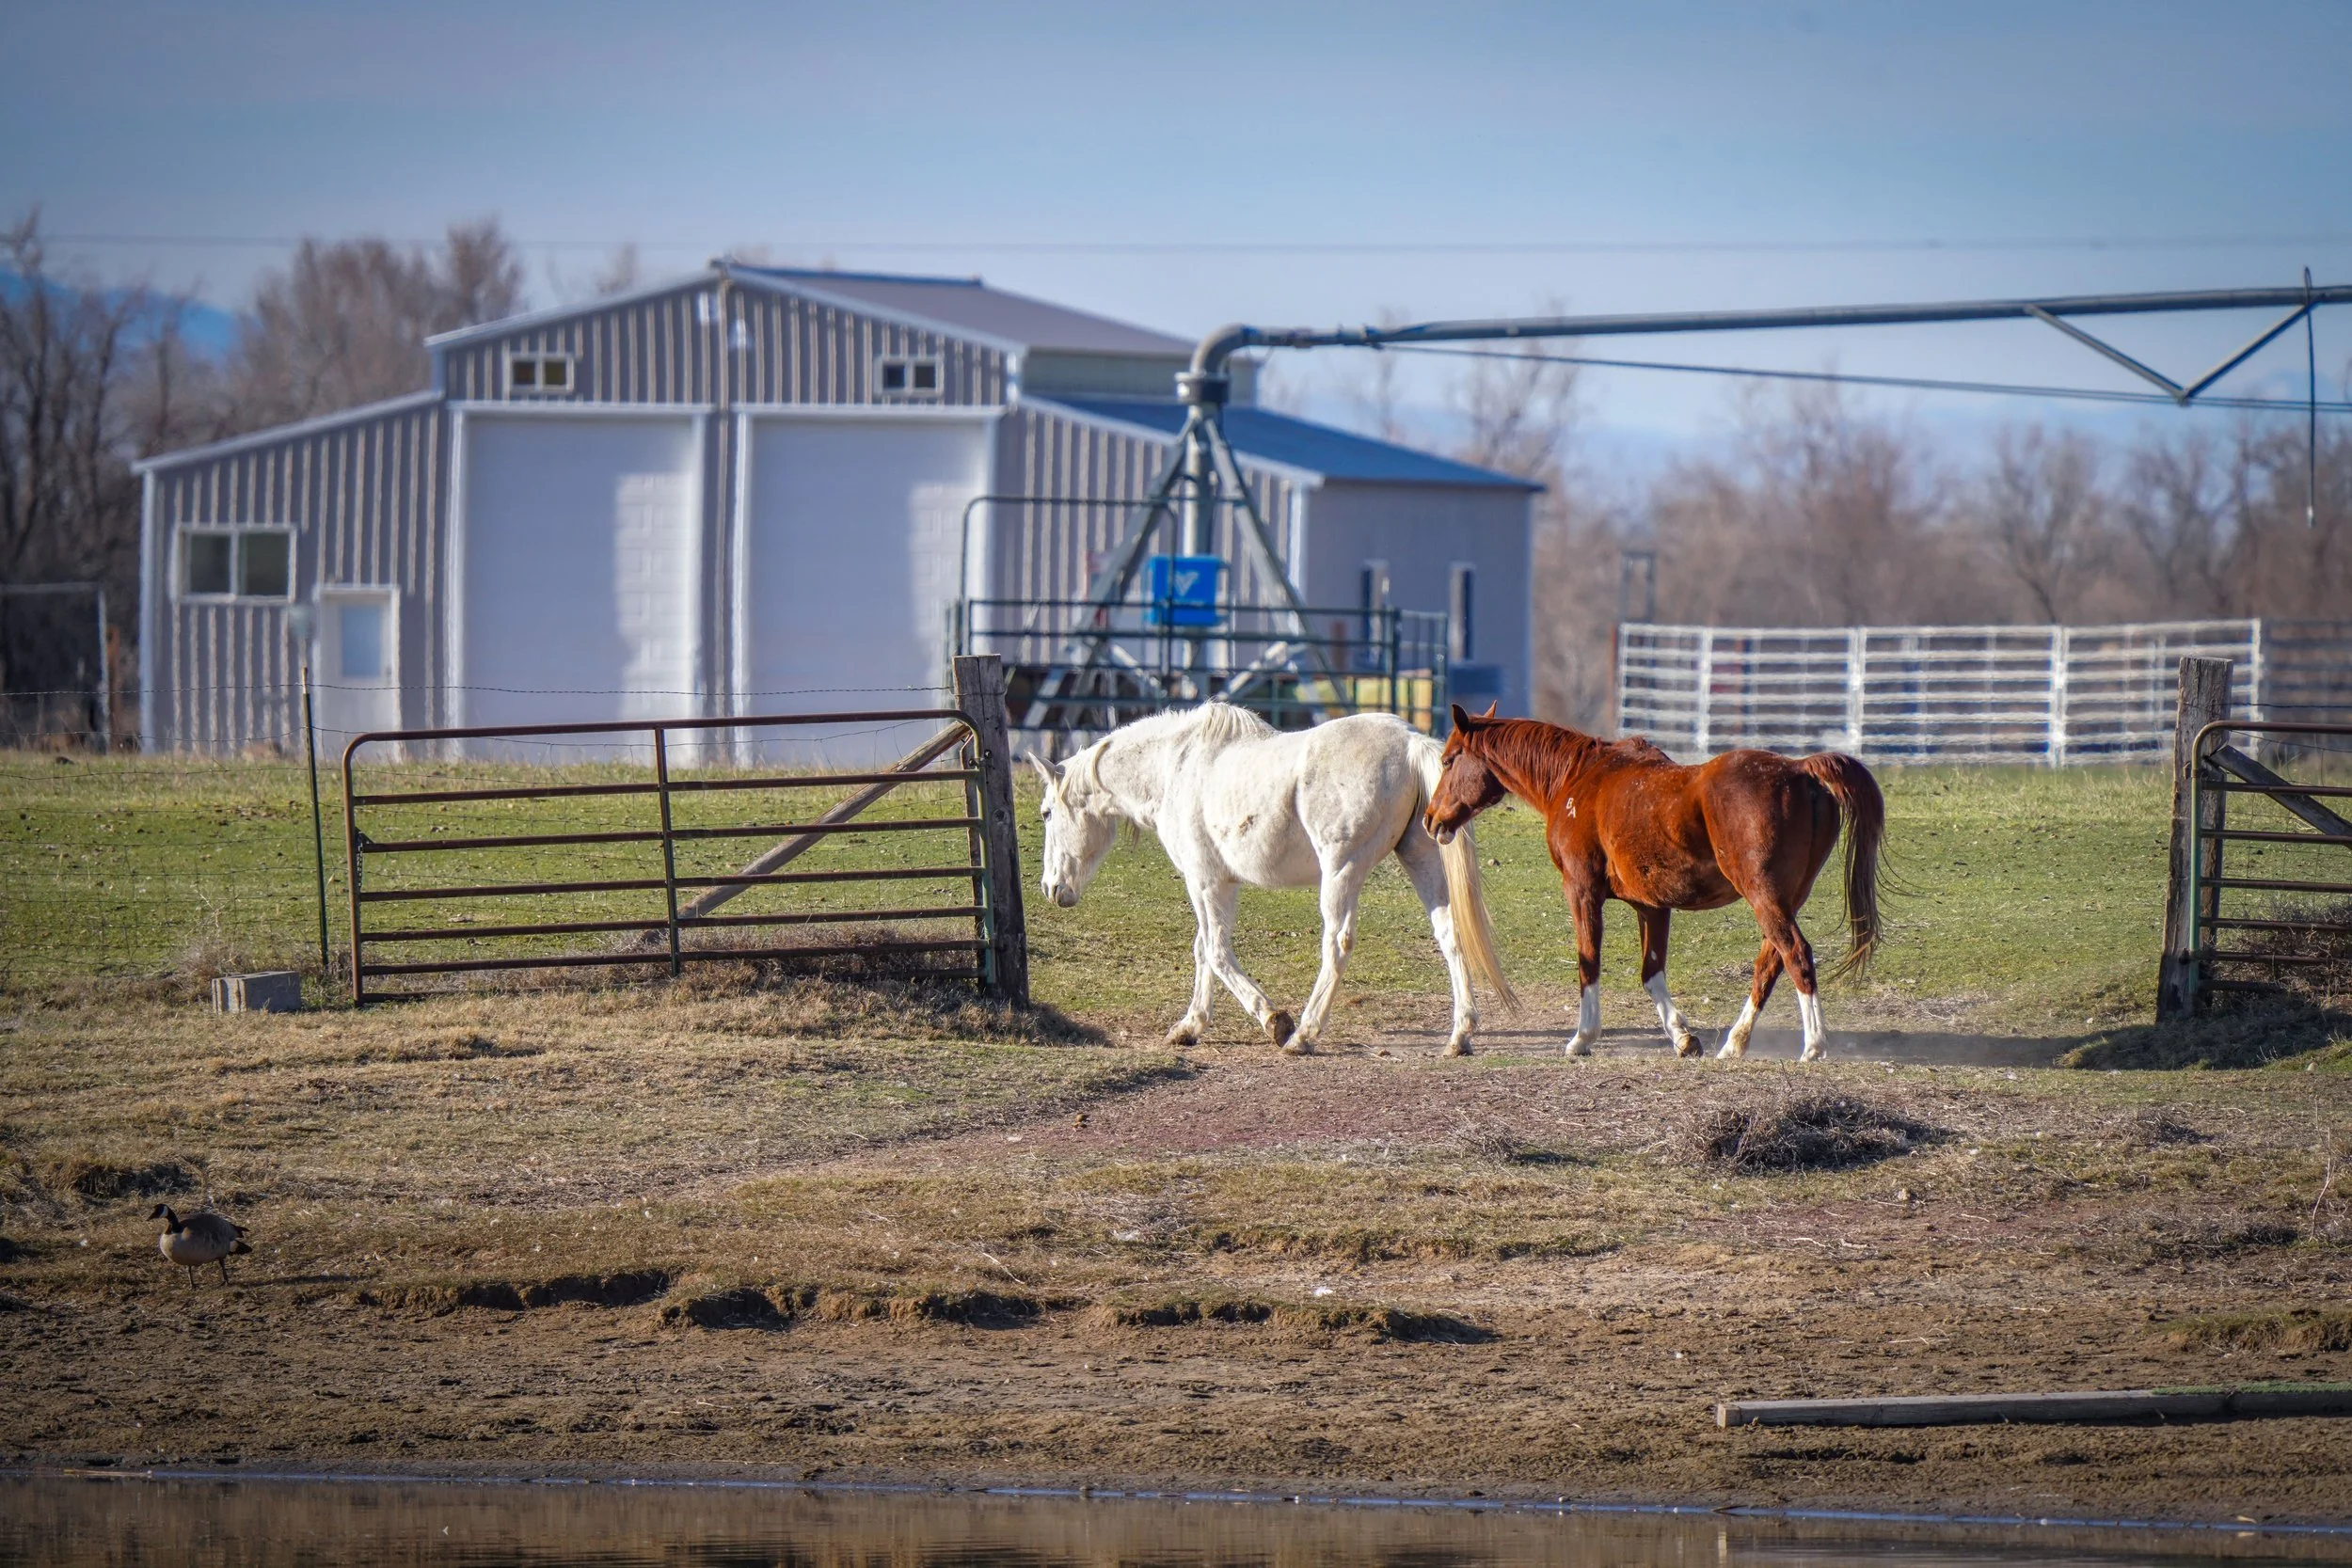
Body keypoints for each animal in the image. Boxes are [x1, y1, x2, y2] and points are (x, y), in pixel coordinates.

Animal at [1032, 703, 1516, 1056]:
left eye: (1046, 813)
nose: (1051, 888)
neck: (1176, 769)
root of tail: (1410, 741)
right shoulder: (1220, 884)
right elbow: (1203, 950)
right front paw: (1190, 1026)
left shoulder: (1204, 881)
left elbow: (1215, 951)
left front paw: (1272, 1020)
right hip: (1422, 860)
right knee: (1450, 934)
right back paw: (1460, 1035)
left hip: (1340, 872)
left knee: (1337, 944)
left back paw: (1304, 1034)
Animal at [1421, 704, 1882, 1062]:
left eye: (1449, 760)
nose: (1430, 819)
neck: (1578, 780)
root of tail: (1800, 769)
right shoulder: (1652, 905)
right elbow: (1651, 973)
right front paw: (1682, 1037)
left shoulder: (1582, 891)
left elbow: (1589, 961)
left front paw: (1583, 1038)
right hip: (1785, 900)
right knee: (1770, 964)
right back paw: (1735, 1043)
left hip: (1764, 897)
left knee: (1796, 955)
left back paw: (1814, 1045)